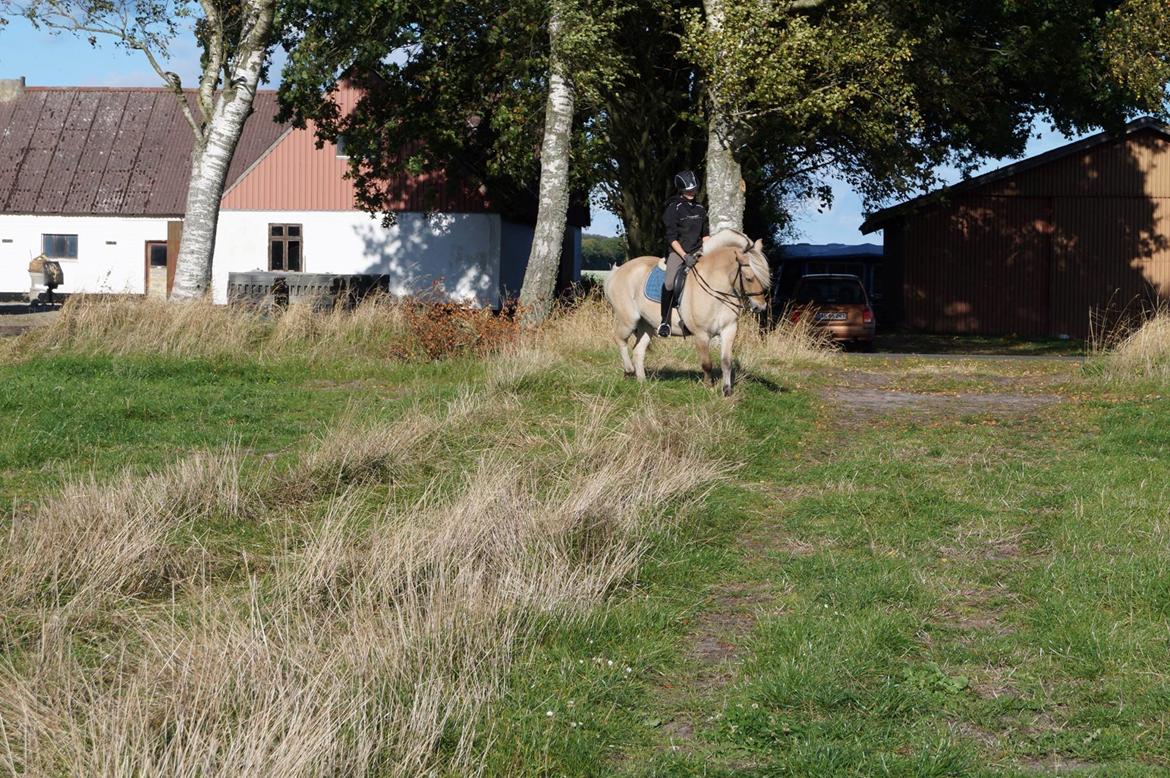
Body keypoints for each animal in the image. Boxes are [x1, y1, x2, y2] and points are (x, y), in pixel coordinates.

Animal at [603, 225, 776, 395]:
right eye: (749, 278)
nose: (760, 307)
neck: (716, 287)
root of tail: (617, 271)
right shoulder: (701, 334)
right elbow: (707, 363)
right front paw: (708, 387)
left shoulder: (729, 329)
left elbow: (726, 362)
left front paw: (726, 391)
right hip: (629, 320)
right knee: (619, 339)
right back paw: (629, 369)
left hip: (647, 324)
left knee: (638, 351)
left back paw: (642, 382)